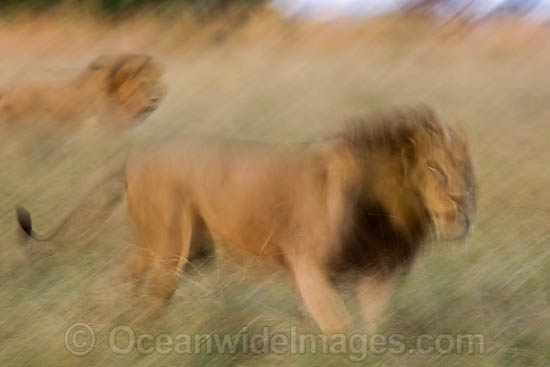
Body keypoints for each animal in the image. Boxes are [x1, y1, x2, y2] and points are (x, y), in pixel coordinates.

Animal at [15, 105, 476, 334]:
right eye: (434, 169)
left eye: (466, 171)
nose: (462, 205)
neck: (392, 204)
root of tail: (133, 156)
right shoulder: (307, 264)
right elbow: (340, 327)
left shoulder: (376, 273)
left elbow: (373, 329)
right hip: (171, 247)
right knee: (150, 297)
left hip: (163, 246)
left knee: (115, 280)